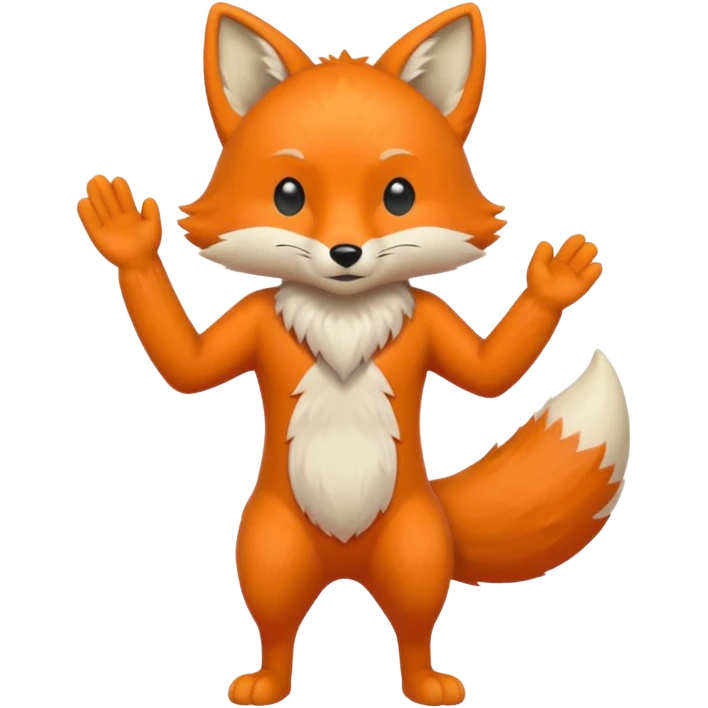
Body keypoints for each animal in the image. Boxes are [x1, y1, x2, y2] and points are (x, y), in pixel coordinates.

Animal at [76, 2, 631, 706]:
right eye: (288, 196)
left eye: (399, 196)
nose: (345, 253)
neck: (343, 320)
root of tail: (344, 563)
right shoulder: (253, 327)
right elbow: (187, 367)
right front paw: (126, 240)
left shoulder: (432, 326)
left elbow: (489, 376)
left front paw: (553, 284)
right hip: (269, 550)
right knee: (276, 624)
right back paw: (267, 683)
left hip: (415, 551)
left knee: (416, 625)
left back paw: (426, 685)